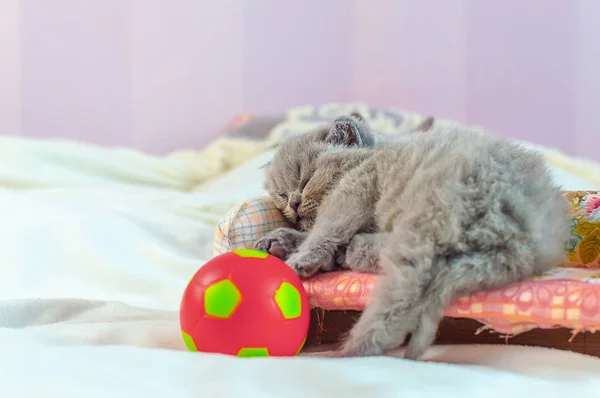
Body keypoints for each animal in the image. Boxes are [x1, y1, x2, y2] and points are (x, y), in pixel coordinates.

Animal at [254, 113, 572, 360]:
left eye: (305, 178)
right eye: (281, 194)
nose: (293, 203)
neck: (371, 156)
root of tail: (525, 243)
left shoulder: (353, 192)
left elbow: (324, 231)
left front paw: (297, 259)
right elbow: (312, 234)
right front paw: (277, 241)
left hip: (427, 210)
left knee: (406, 276)